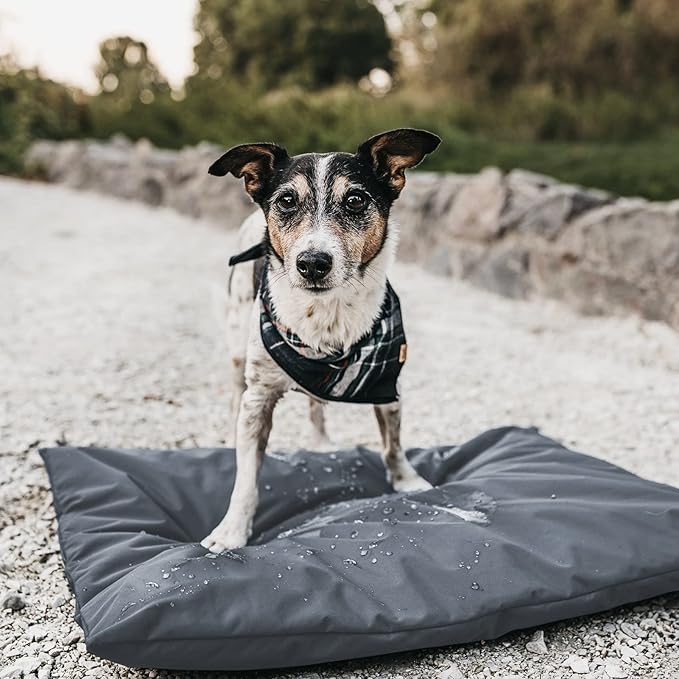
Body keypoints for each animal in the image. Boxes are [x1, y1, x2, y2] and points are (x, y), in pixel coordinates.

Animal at [202, 130, 440, 556]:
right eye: (286, 201)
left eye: (356, 200)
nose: (312, 263)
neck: (326, 316)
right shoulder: (258, 400)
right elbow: (246, 481)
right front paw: (232, 531)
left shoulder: (388, 383)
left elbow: (393, 443)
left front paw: (407, 481)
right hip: (236, 348)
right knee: (233, 392)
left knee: (316, 406)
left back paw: (320, 441)